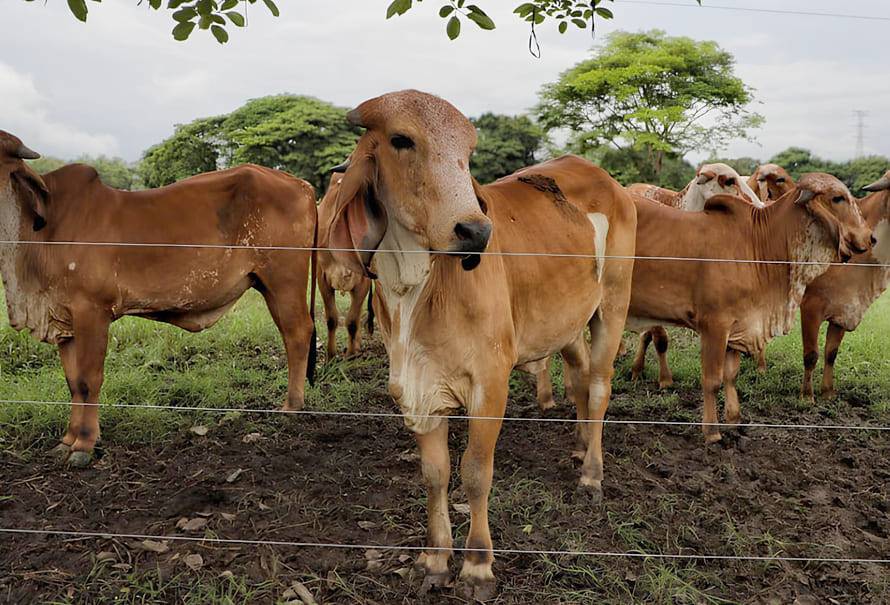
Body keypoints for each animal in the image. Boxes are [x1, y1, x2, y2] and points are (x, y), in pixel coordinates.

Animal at [0, 131, 317, 467]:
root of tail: (303, 185)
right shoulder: (64, 318)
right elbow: (73, 383)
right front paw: (67, 441)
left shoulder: (92, 311)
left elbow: (88, 380)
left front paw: (84, 445)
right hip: (270, 284)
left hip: (284, 280)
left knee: (298, 332)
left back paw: (292, 405)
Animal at [317, 173, 373, 359]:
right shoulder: (322, 278)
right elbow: (331, 319)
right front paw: (331, 355)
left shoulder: (363, 281)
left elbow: (352, 321)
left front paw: (350, 355)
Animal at [326, 90, 636, 600]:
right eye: (401, 139)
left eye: (468, 152)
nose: (474, 231)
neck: (415, 286)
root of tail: (610, 181)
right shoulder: (416, 388)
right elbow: (434, 474)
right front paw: (435, 560)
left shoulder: (490, 385)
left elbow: (474, 472)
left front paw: (476, 566)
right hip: (568, 324)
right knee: (578, 378)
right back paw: (578, 445)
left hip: (612, 306)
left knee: (597, 387)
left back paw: (591, 474)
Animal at [627, 174, 872, 444]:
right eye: (837, 198)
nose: (870, 237)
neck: (758, 245)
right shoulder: (714, 325)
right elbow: (712, 379)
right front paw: (712, 432)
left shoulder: (738, 327)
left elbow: (730, 375)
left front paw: (734, 420)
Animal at [799, 171, 890, 400]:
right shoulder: (810, 307)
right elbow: (811, 354)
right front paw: (807, 396)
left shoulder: (844, 309)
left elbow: (831, 353)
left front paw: (828, 392)